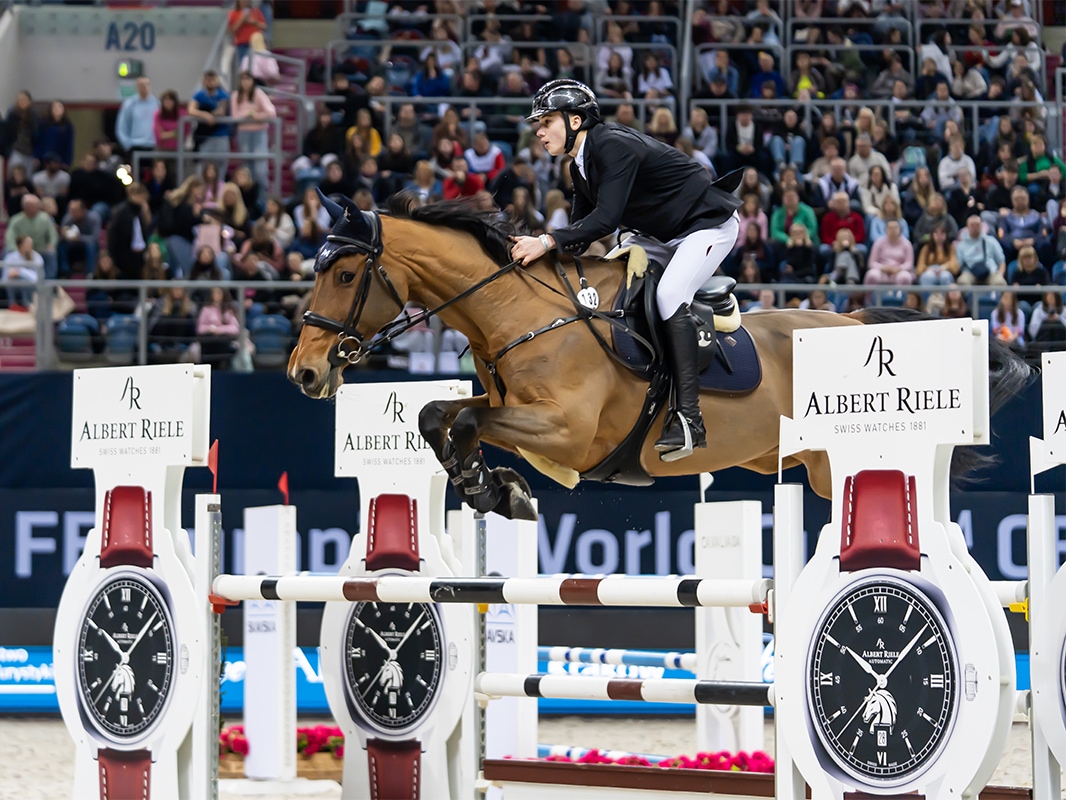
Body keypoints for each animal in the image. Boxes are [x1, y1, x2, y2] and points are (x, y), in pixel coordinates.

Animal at [287, 192, 1030, 521]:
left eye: (346, 275)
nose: (305, 371)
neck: (519, 312)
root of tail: (848, 317)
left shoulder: (568, 430)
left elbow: (467, 421)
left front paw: (497, 489)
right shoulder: (512, 408)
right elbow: (438, 415)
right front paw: (491, 487)